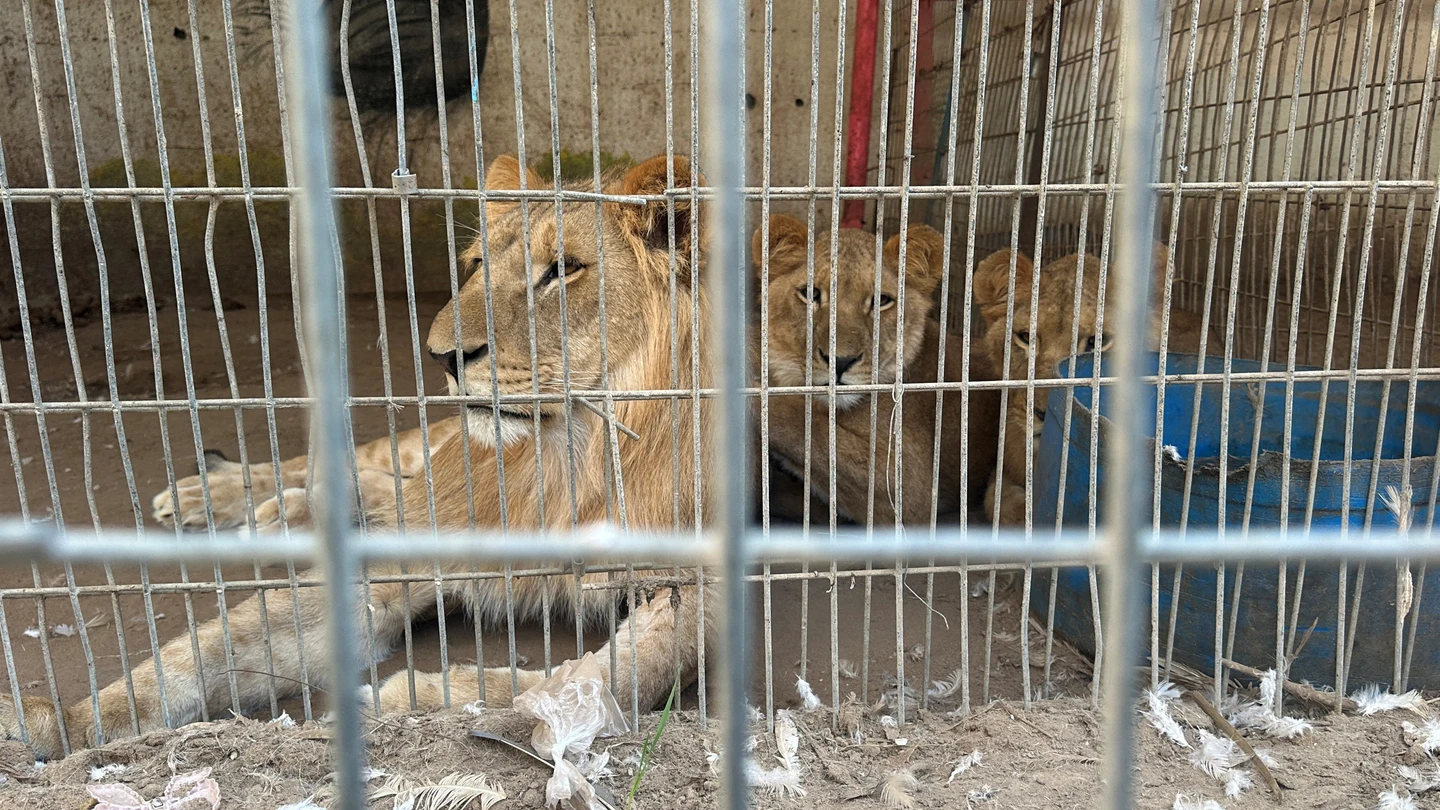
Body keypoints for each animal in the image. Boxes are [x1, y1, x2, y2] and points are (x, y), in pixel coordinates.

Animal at [1, 154, 720, 760]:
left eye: (563, 270)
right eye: (477, 264)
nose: (443, 357)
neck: (568, 456)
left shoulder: (703, 589)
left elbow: (612, 679)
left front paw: (421, 696)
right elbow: (206, 648)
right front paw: (63, 723)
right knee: (371, 463)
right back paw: (229, 495)